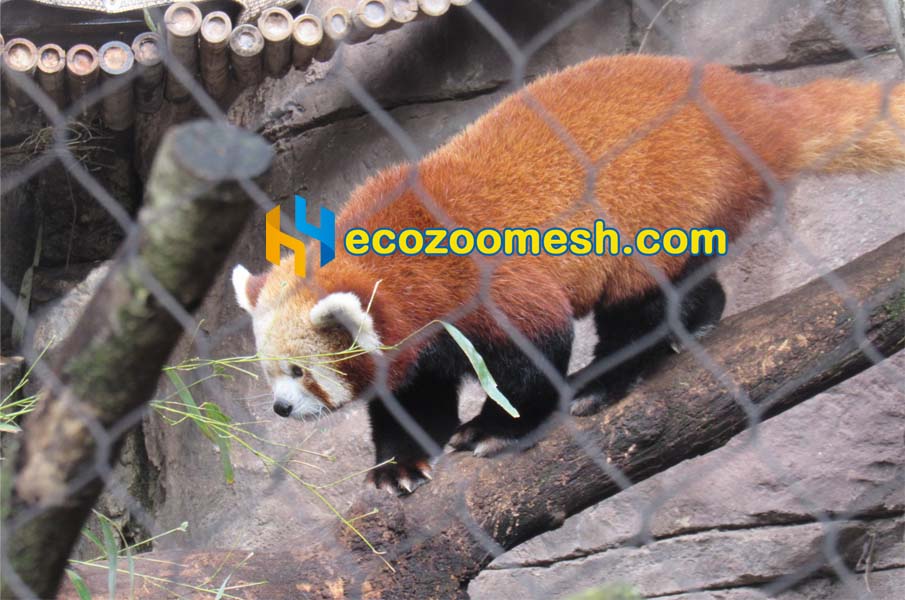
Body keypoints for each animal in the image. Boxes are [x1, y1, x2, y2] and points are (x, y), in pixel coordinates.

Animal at [232, 54, 905, 494]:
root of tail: (750, 100)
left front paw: (499, 429)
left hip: (660, 208)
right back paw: (700, 320)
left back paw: (606, 379)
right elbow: (416, 397)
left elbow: (536, 355)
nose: (280, 410)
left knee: (641, 304)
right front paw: (399, 464)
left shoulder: (487, 282)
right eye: (268, 373)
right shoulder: (425, 339)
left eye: (300, 372)